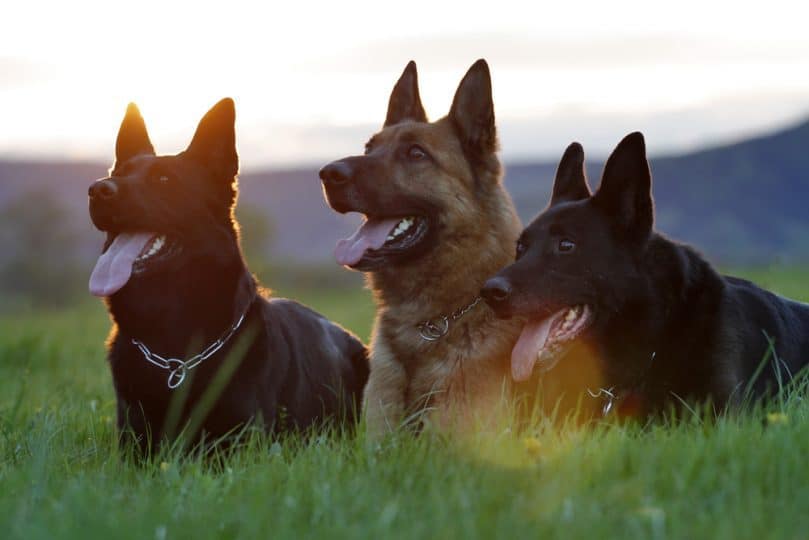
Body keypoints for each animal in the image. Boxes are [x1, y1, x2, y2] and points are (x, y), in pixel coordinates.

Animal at [87, 99, 366, 454]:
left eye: (164, 179)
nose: (97, 189)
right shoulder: (134, 444)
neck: (173, 354)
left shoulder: (238, 444)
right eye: (118, 175)